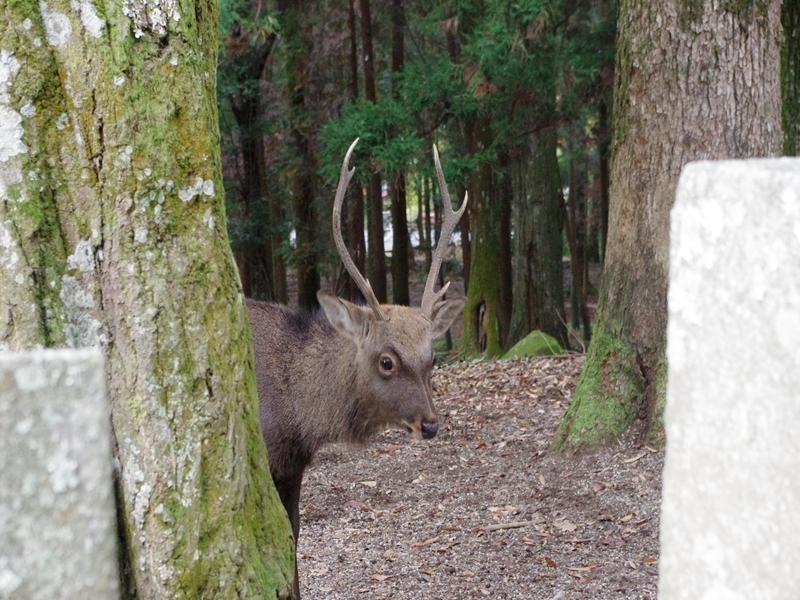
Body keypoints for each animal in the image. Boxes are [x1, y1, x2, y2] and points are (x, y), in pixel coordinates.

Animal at [247, 139, 466, 596]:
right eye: (386, 360)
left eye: (433, 358)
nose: (430, 424)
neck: (295, 420)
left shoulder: (292, 468)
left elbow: (292, 535)